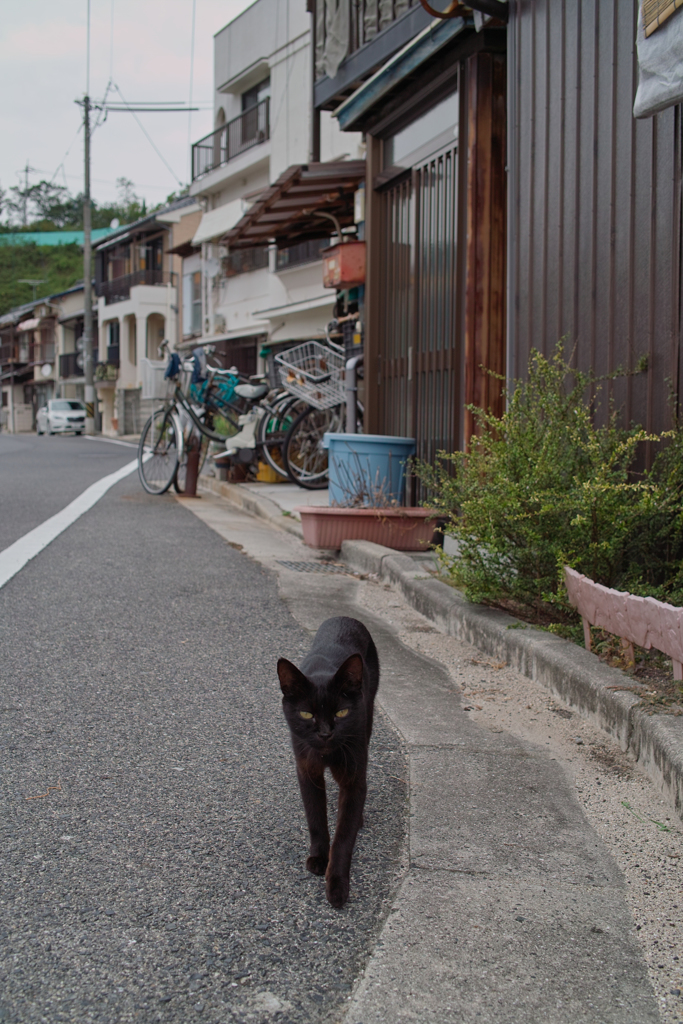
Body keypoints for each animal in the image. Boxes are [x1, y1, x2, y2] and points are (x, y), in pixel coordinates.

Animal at [280, 614, 382, 905]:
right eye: (306, 714)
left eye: (341, 712)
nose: (325, 733)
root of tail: (345, 618)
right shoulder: (307, 771)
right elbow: (315, 818)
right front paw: (318, 858)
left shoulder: (354, 777)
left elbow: (344, 837)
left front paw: (337, 884)